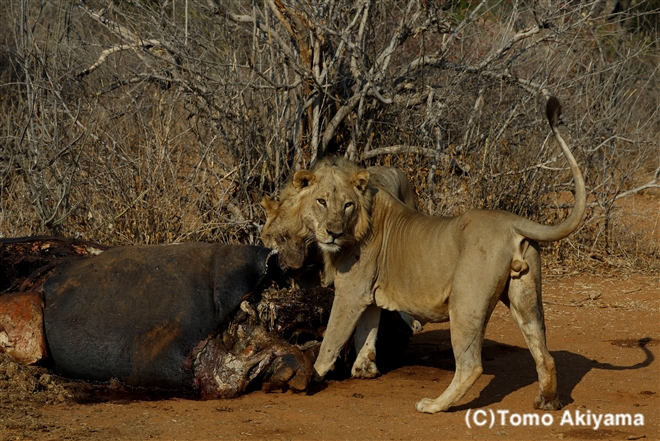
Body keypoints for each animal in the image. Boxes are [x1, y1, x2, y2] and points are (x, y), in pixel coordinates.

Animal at [292, 97, 584, 412]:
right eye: (322, 201)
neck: (363, 216)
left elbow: (331, 340)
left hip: (466, 301)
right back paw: (548, 401)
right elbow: (367, 331)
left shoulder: (351, 293)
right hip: (524, 296)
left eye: (347, 205)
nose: (333, 232)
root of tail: (513, 222)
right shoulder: (367, 292)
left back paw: (434, 405)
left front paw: (312, 375)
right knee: (544, 353)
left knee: (471, 365)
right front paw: (364, 369)